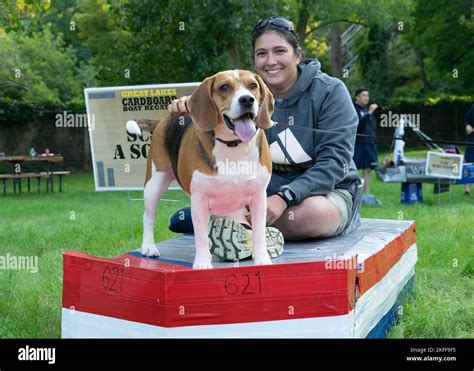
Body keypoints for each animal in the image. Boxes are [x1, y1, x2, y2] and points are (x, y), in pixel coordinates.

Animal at [126, 70, 274, 268]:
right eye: (224, 87)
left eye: (253, 86)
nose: (247, 100)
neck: (233, 145)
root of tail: (164, 119)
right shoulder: (199, 199)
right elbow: (201, 236)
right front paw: (202, 263)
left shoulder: (258, 197)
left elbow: (258, 232)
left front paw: (262, 259)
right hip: (154, 183)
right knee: (148, 216)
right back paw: (148, 247)